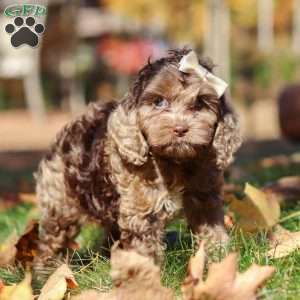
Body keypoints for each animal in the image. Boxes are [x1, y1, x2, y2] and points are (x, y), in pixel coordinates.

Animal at [35, 48, 241, 264]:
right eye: (159, 102)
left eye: (200, 104)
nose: (180, 129)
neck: (173, 161)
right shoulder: (141, 211)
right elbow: (144, 250)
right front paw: (145, 273)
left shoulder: (205, 199)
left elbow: (212, 232)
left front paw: (220, 258)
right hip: (60, 203)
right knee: (51, 240)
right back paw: (46, 268)